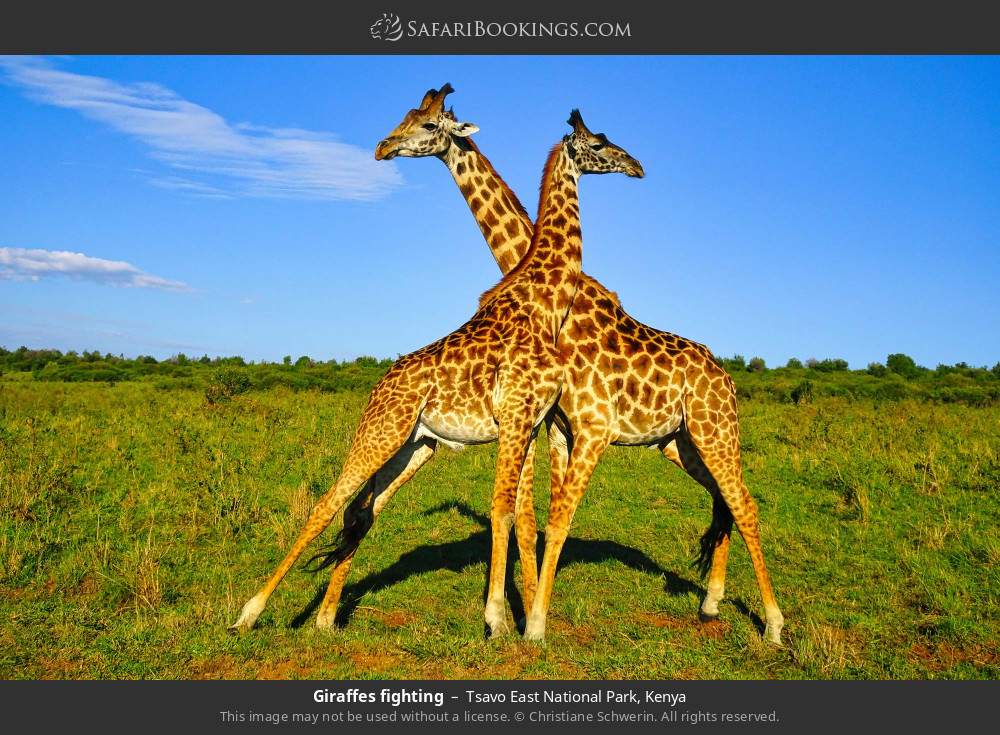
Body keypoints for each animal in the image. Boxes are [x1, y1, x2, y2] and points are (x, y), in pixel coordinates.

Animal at [230, 109, 644, 640]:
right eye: (598, 142)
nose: (636, 165)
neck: (545, 299)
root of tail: (376, 389)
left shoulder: (532, 422)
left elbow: (518, 513)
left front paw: (522, 618)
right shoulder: (518, 417)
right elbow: (504, 509)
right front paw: (500, 620)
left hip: (415, 446)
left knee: (360, 510)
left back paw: (324, 619)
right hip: (382, 434)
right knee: (326, 505)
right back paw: (249, 613)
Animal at [368, 85, 780, 644]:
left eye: (428, 125)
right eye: (410, 118)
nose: (383, 147)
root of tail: (727, 378)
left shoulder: (583, 426)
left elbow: (545, 516)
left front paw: (526, 617)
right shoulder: (554, 427)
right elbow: (535, 516)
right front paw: (524, 608)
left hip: (715, 432)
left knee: (744, 502)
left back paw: (774, 625)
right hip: (680, 442)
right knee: (724, 500)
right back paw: (711, 602)